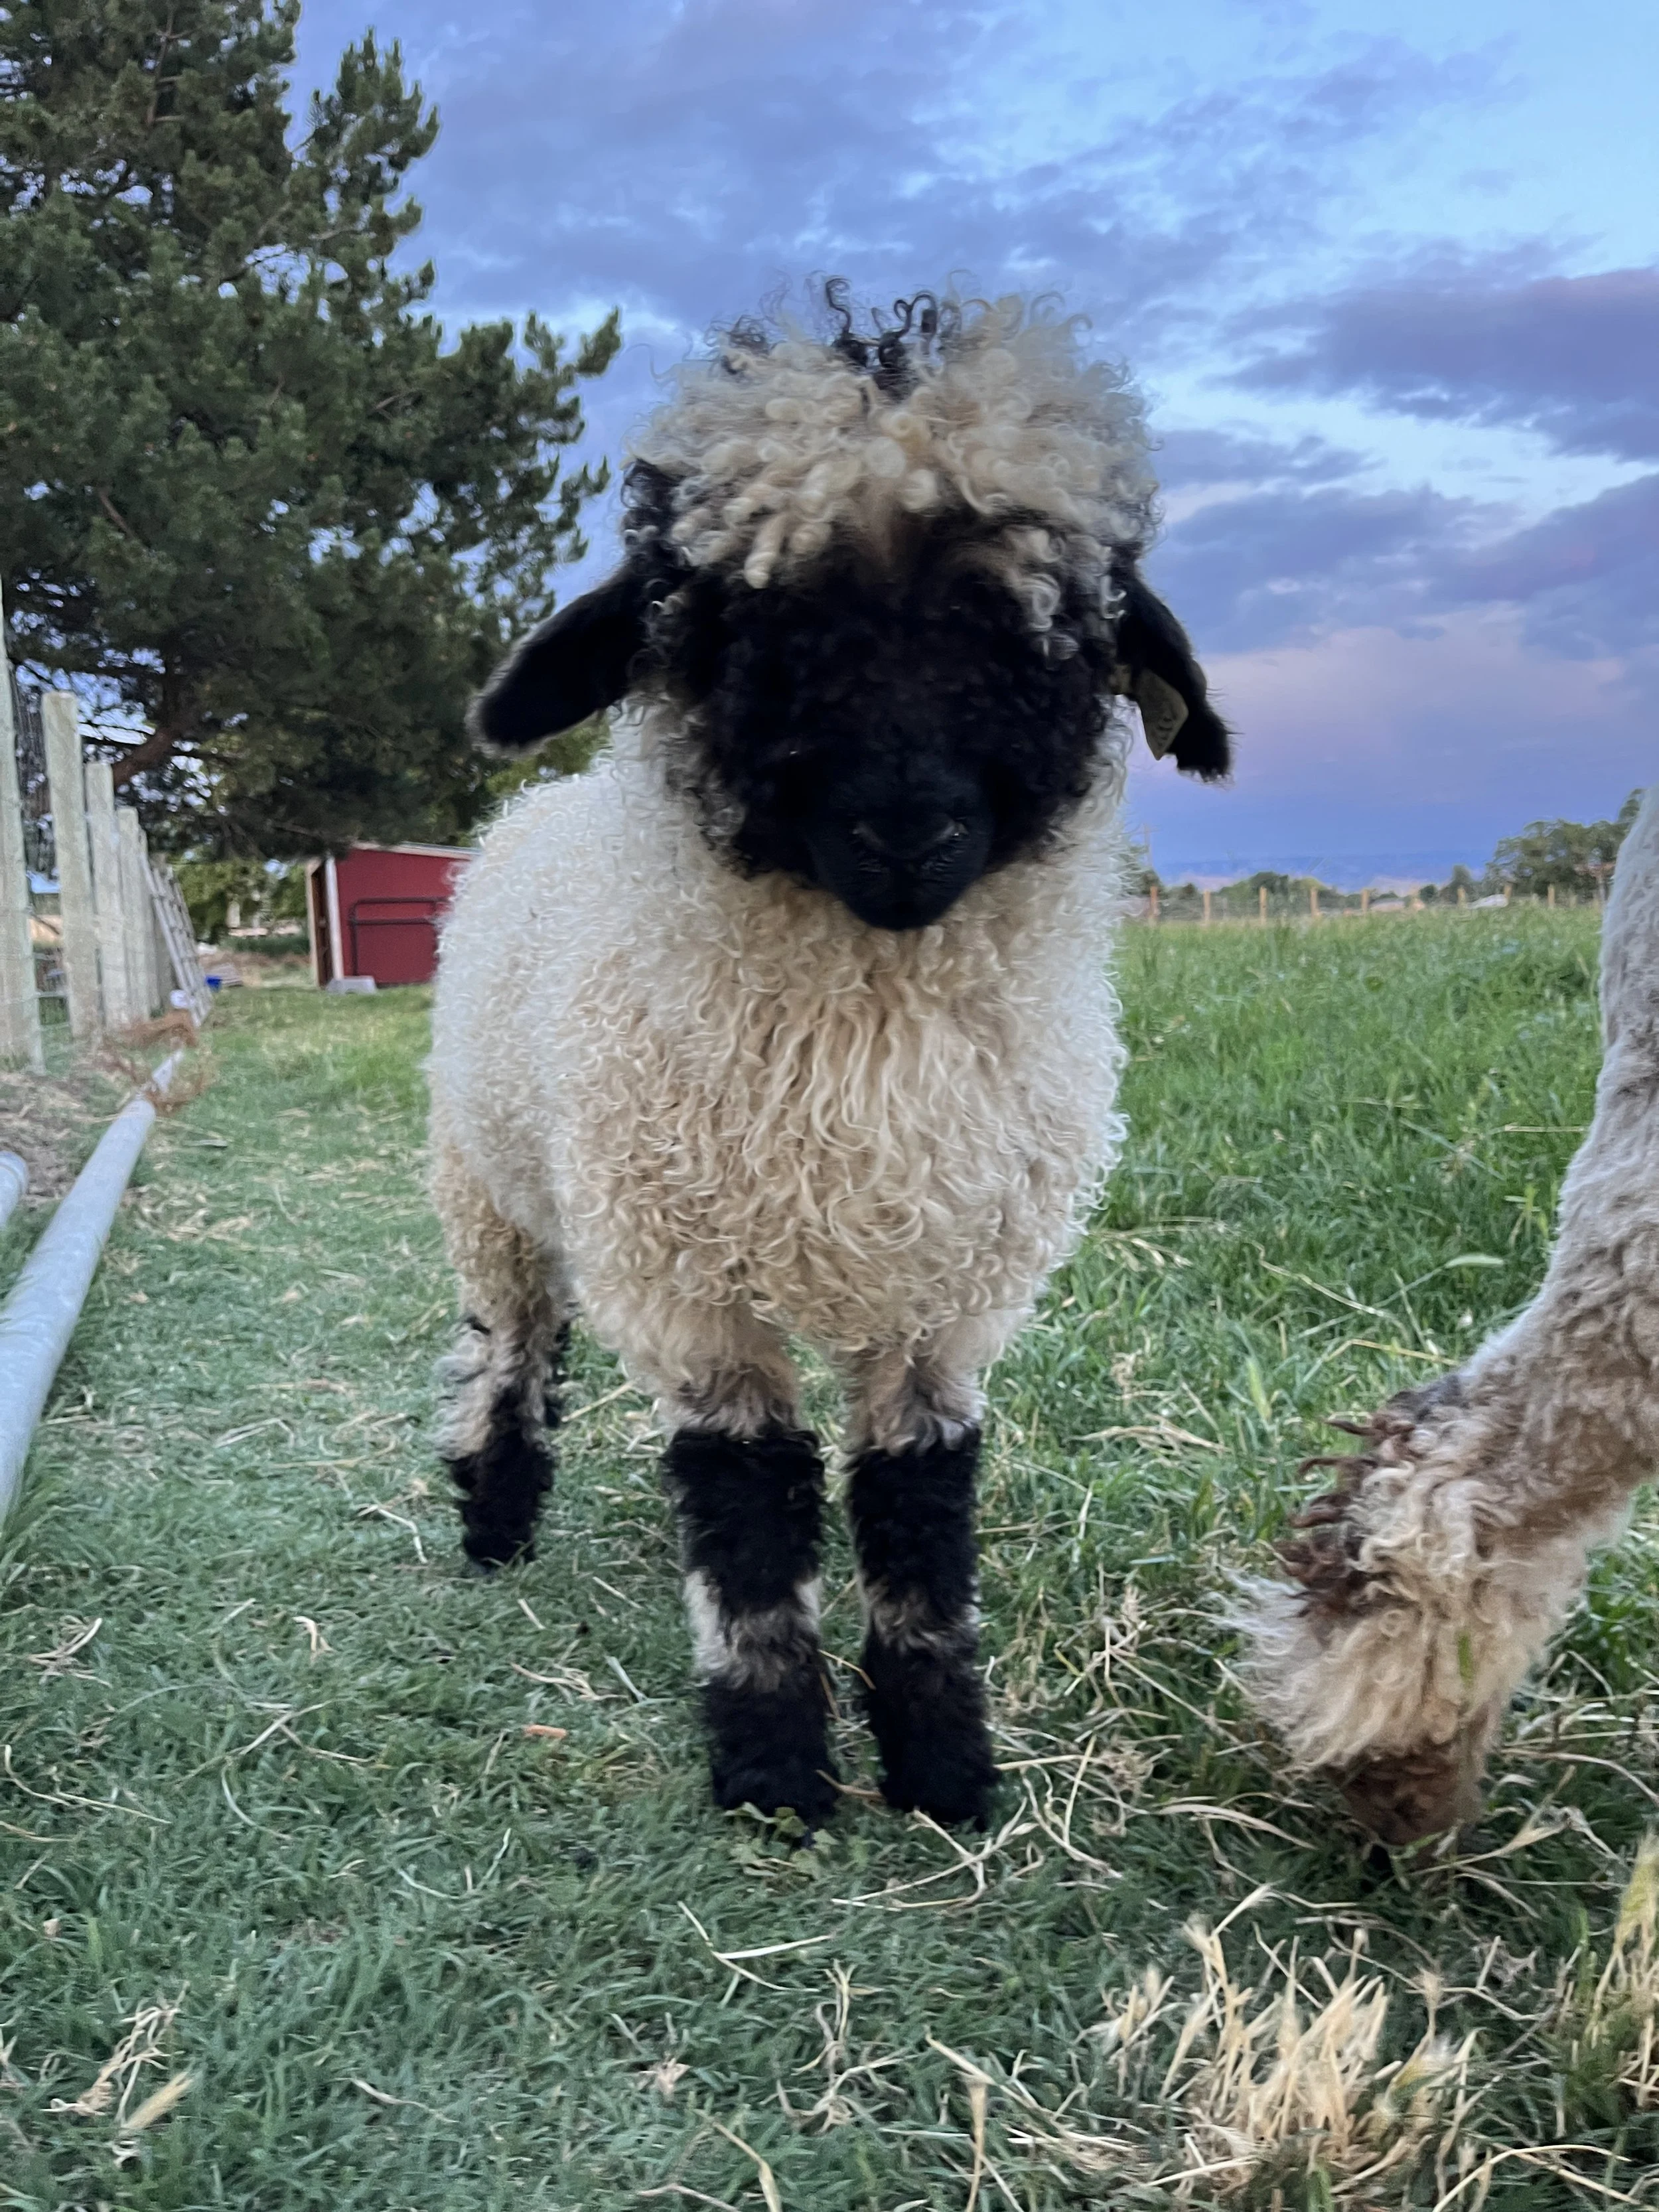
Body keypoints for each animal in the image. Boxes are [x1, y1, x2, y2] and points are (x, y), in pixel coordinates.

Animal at [426, 285, 1229, 1828]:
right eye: (746, 623)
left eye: (1045, 624)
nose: (907, 828)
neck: (858, 1041)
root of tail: (530, 809)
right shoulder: (688, 1284)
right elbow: (746, 1514)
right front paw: (774, 1766)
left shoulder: (945, 1302)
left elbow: (916, 1517)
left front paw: (941, 1755)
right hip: (490, 1190)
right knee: (510, 1346)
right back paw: (495, 1517)